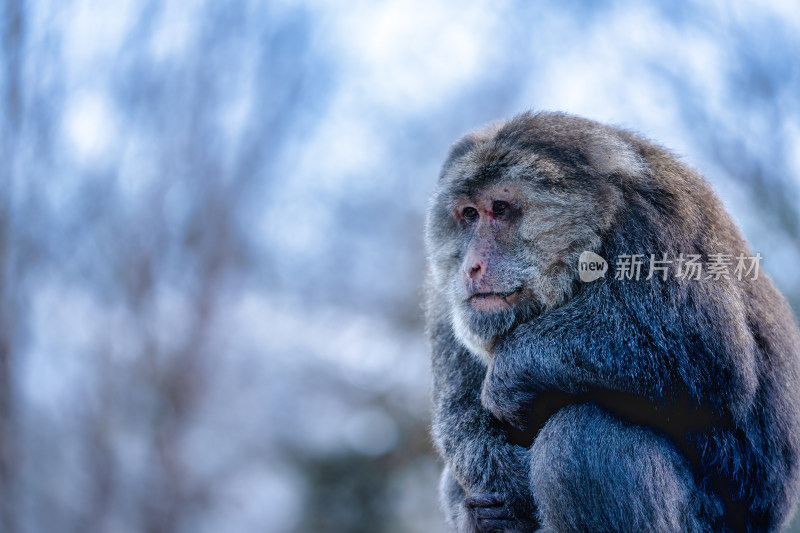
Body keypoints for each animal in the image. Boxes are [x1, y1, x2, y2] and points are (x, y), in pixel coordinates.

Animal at [428, 110, 800, 528]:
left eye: (500, 208)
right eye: (469, 214)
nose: (472, 266)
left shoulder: (653, 225)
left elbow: (713, 359)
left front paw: (511, 373)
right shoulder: (447, 297)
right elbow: (458, 413)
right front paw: (505, 489)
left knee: (580, 442)